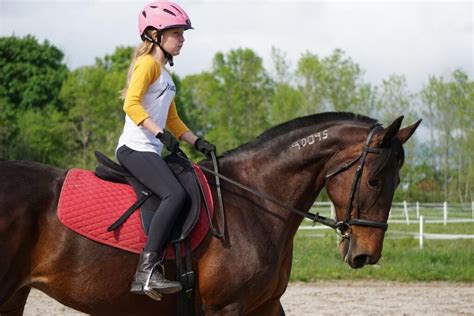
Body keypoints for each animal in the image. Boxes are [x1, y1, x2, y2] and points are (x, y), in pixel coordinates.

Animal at [0, 112, 422, 314]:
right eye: (375, 181)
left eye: (398, 180)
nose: (366, 254)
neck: (255, 200)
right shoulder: (227, 307)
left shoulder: (265, 305)